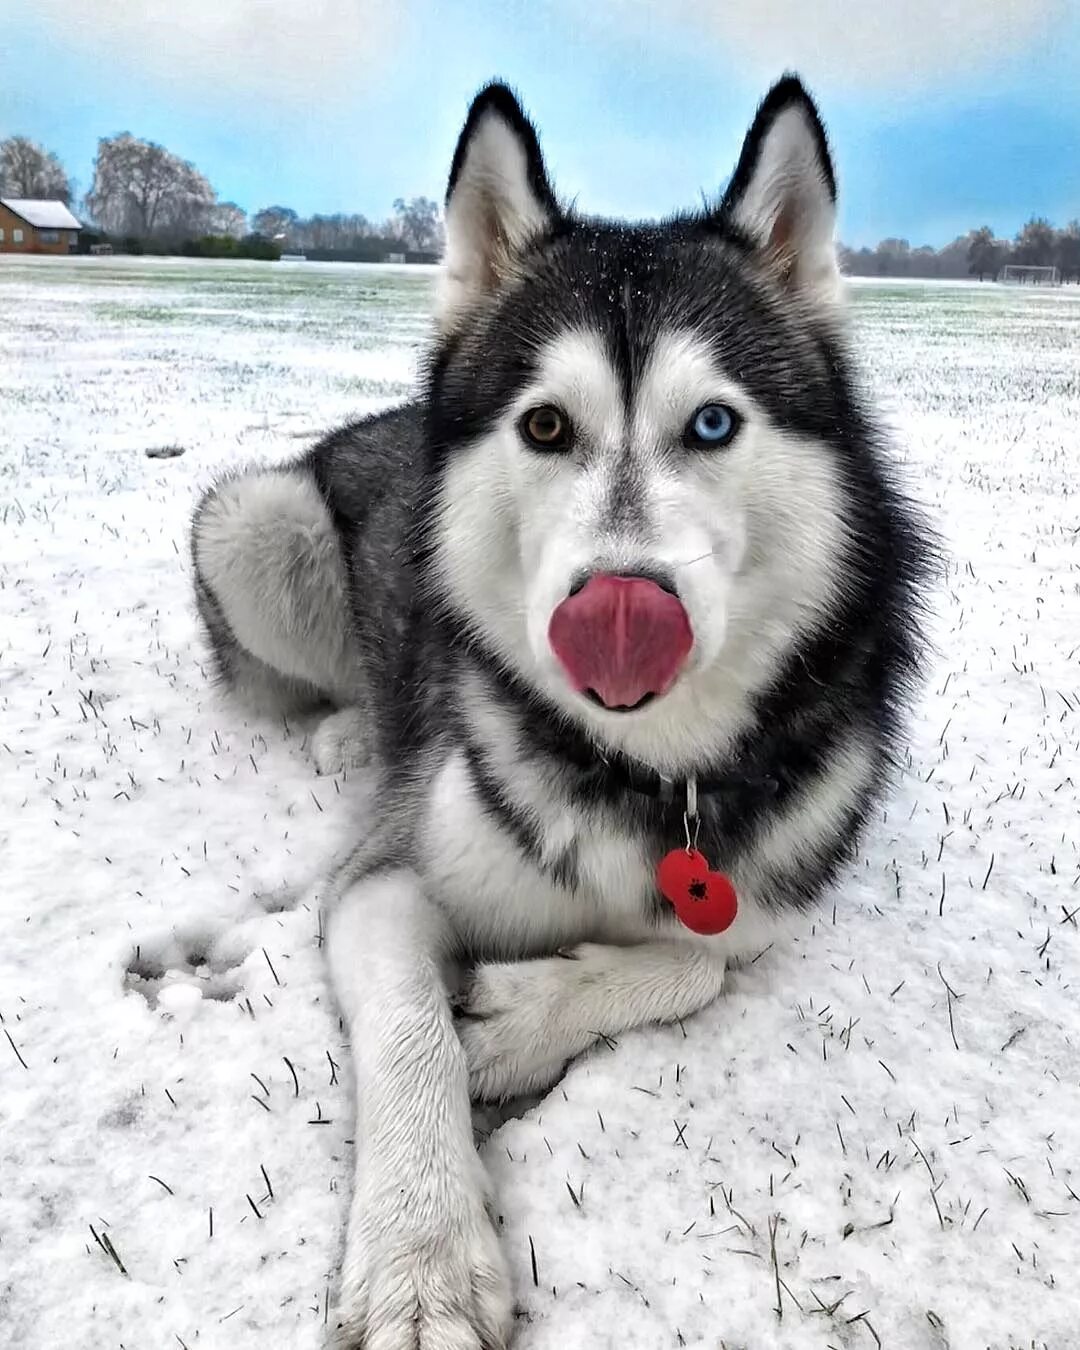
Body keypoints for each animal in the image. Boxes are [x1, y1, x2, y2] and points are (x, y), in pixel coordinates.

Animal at [191, 76, 928, 1350]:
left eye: (713, 424)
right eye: (545, 427)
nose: (619, 609)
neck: (647, 768)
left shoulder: (772, 889)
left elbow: (700, 958)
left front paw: (523, 1016)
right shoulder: (388, 879)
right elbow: (410, 1028)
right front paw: (423, 1263)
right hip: (253, 520)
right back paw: (351, 729)